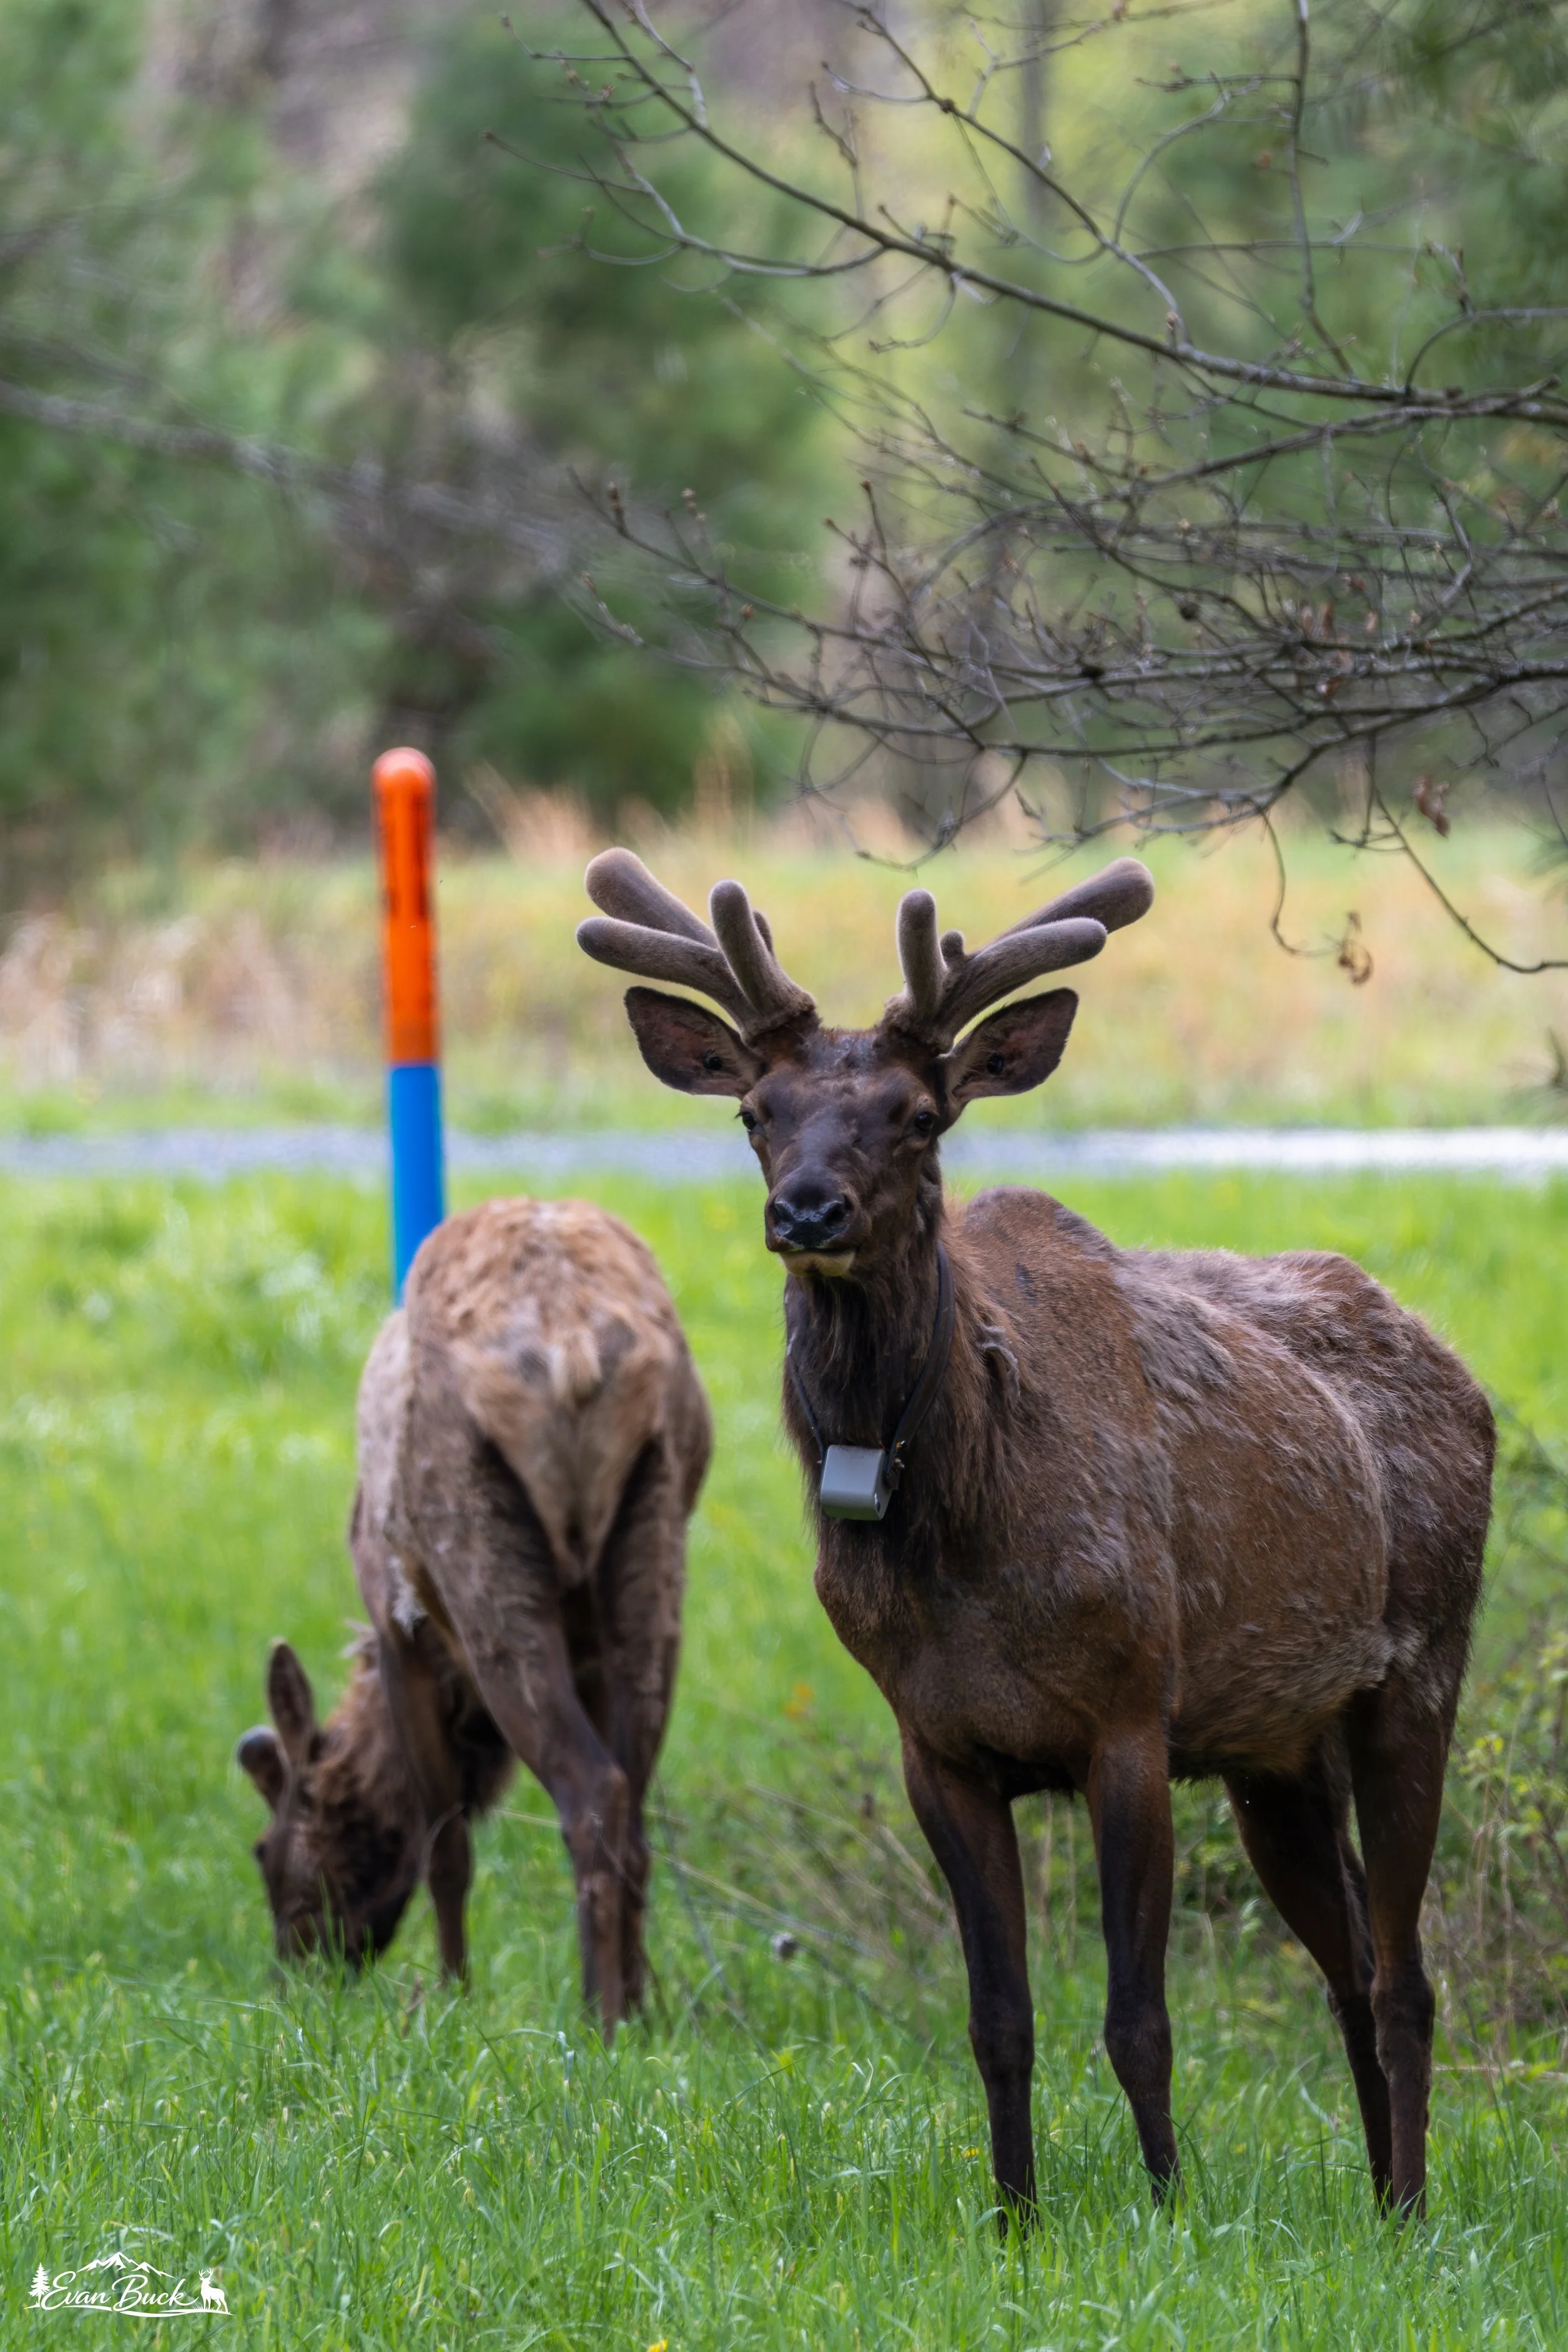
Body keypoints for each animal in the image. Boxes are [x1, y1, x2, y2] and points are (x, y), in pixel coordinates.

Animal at [236, 1194, 711, 2031]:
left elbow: (444, 1845)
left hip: (477, 1544)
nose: (297, 1975)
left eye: (267, 1848)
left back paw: (598, 2019)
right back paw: (633, 2012)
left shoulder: (402, 1629)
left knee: (592, 1790)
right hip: (654, 1538)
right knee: (633, 1807)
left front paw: (452, 1997)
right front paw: (646, 1997)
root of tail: (571, 1346)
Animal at [576, 847, 1494, 2220]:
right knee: (1343, 1963)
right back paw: (1381, 2196)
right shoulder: (938, 1743)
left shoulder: (1130, 1711)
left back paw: (1412, 2210)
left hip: (1419, 1667)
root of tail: (1460, 1371)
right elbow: (996, 2018)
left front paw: (1165, 2207)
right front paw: (1014, 2216)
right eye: (756, 1111)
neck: (964, 1549)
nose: (807, 1212)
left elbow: (1137, 2018)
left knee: (1403, 1974)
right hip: (1276, 1747)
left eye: (917, 1114)